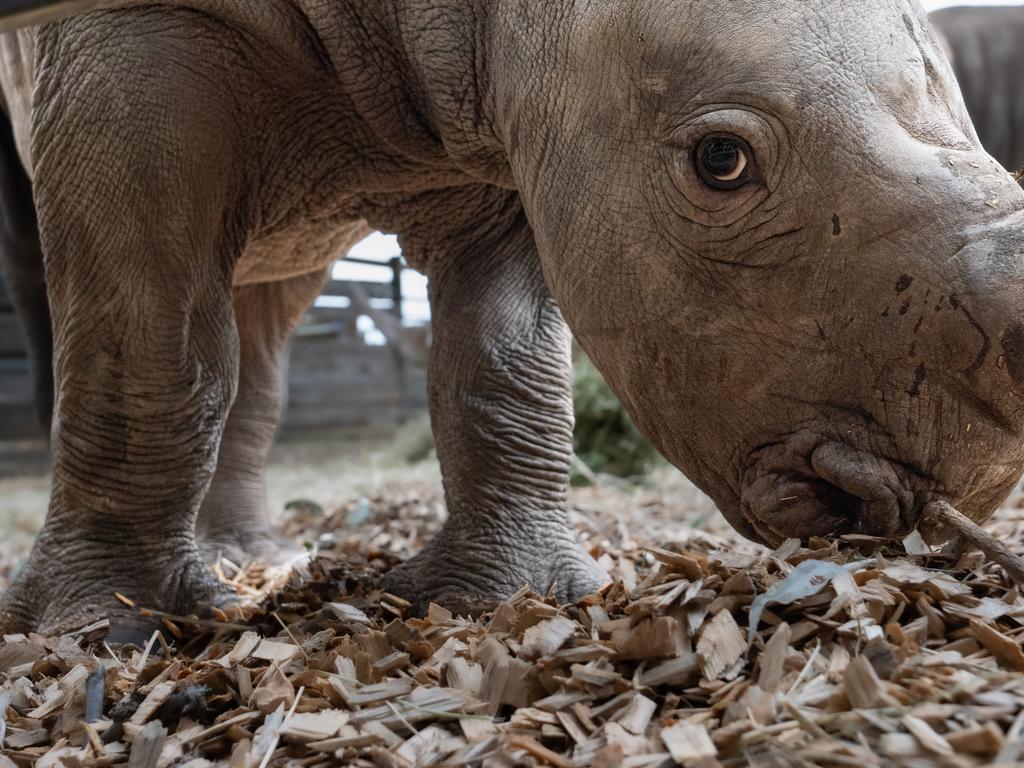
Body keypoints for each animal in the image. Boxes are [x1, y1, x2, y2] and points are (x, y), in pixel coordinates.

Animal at [2, 0, 1024, 638]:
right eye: (721, 160)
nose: (973, 485)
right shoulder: (120, 36)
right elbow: (146, 333)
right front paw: (108, 629)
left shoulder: (513, 117)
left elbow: (502, 360)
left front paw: (503, 596)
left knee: (270, 302)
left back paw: (249, 555)